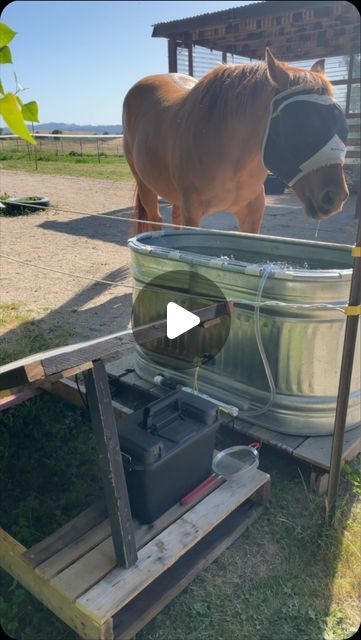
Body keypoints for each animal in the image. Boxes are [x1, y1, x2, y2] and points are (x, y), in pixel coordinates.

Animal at [122, 50, 348, 234]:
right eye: (298, 123)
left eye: (340, 123)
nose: (334, 197)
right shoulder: (192, 214)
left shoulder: (252, 214)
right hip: (144, 185)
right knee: (156, 220)